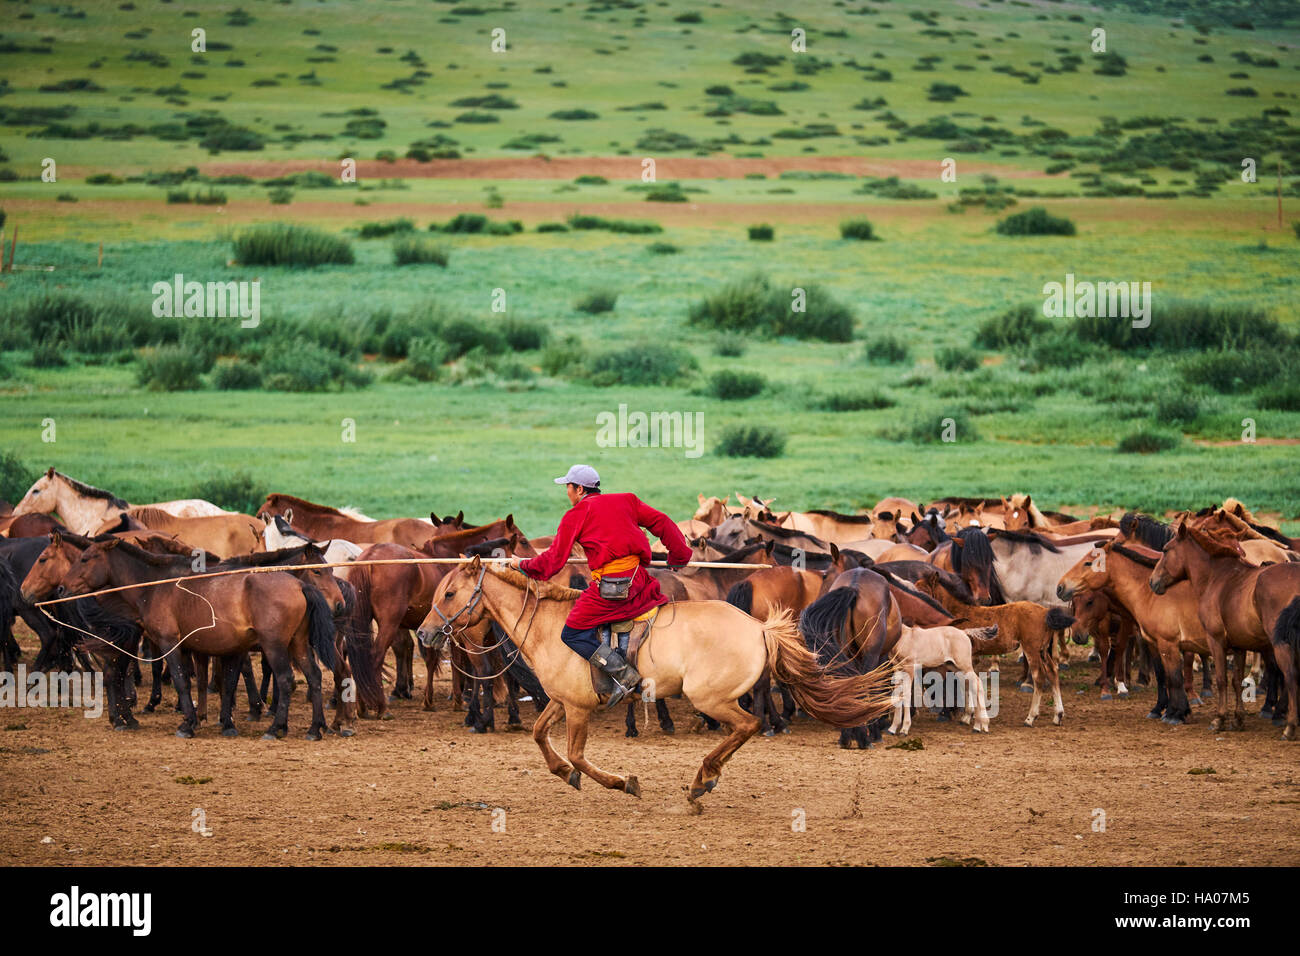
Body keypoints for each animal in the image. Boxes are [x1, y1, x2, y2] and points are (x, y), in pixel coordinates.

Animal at [416, 557, 895, 812]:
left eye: (451, 594)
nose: (423, 633)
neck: (550, 626)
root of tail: (758, 627)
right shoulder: (561, 700)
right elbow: (539, 735)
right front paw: (564, 773)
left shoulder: (578, 709)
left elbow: (578, 753)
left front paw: (621, 782)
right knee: (745, 728)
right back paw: (708, 776)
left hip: (711, 698)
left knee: (748, 725)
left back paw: (703, 777)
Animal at [1150, 518, 1300, 739]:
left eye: (1166, 550)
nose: (1152, 581)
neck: (1217, 578)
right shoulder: (1238, 646)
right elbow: (1236, 681)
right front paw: (1238, 719)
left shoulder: (1216, 640)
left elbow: (1221, 679)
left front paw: (1219, 719)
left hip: (1281, 646)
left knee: (1290, 678)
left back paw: (1289, 726)